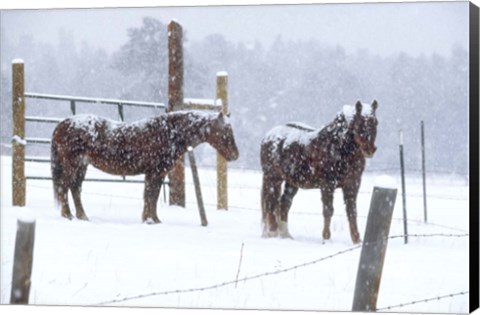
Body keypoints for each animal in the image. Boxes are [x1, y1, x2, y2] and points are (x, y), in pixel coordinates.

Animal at [50, 111, 238, 225]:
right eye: (225, 130)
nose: (235, 155)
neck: (168, 133)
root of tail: (63, 124)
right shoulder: (154, 172)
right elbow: (150, 196)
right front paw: (149, 220)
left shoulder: (158, 174)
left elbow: (152, 196)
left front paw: (153, 219)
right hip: (72, 165)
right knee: (64, 187)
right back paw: (68, 215)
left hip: (81, 166)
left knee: (75, 189)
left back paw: (82, 216)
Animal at [262, 100, 378, 244]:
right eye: (359, 123)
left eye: (376, 122)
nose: (370, 149)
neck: (339, 148)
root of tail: (268, 137)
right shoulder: (327, 185)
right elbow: (328, 210)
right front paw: (326, 239)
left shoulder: (352, 185)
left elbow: (352, 211)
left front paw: (357, 240)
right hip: (272, 178)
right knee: (270, 203)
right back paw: (272, 233)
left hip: (292, 183)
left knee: (284, 204)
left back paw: (285, 235)